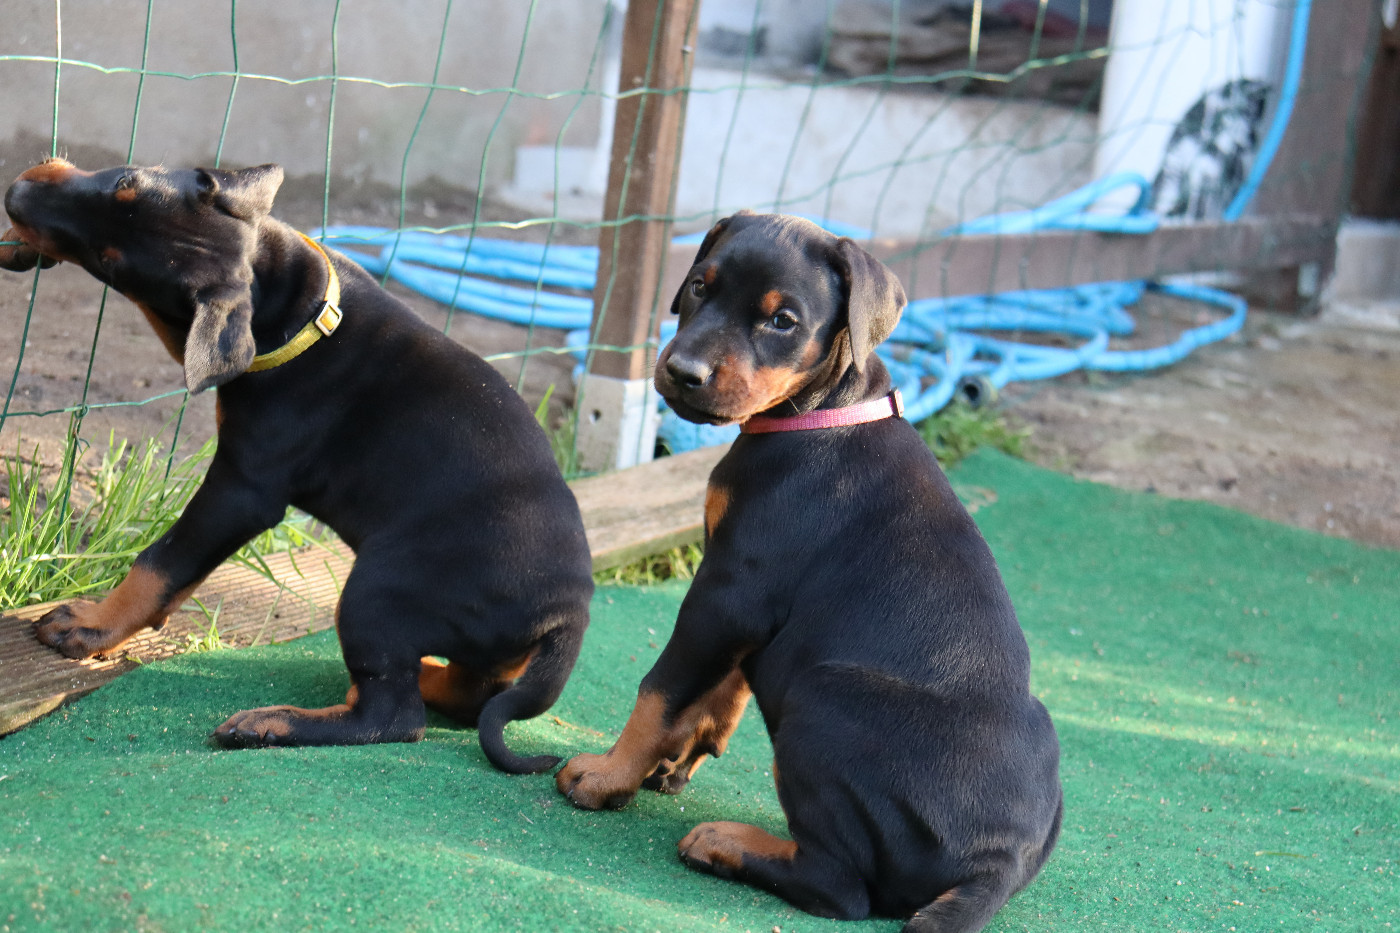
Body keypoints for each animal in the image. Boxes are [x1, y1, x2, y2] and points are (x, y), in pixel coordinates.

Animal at [0, 159, 592, 773]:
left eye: (109, 263)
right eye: (124, 183)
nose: (15, 194)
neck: (296, 314)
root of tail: (569, 611)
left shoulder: (242, 487)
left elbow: (162, 562)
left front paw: (94, 626)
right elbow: (181, 571)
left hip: (378, 591)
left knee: (394, 717)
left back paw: (272, 724)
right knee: (469, 694)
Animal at [555, 212, 1062, 931]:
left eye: (783, 321)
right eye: (700, 285)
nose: (682, 371)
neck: (821, 415)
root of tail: (996, 866)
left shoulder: (729, 588)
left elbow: (660, 688)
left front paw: (607, 775)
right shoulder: (743, 606)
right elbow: (721, 688)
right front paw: (674, 759)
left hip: (821, 697)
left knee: (839, 887)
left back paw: (725, 843)